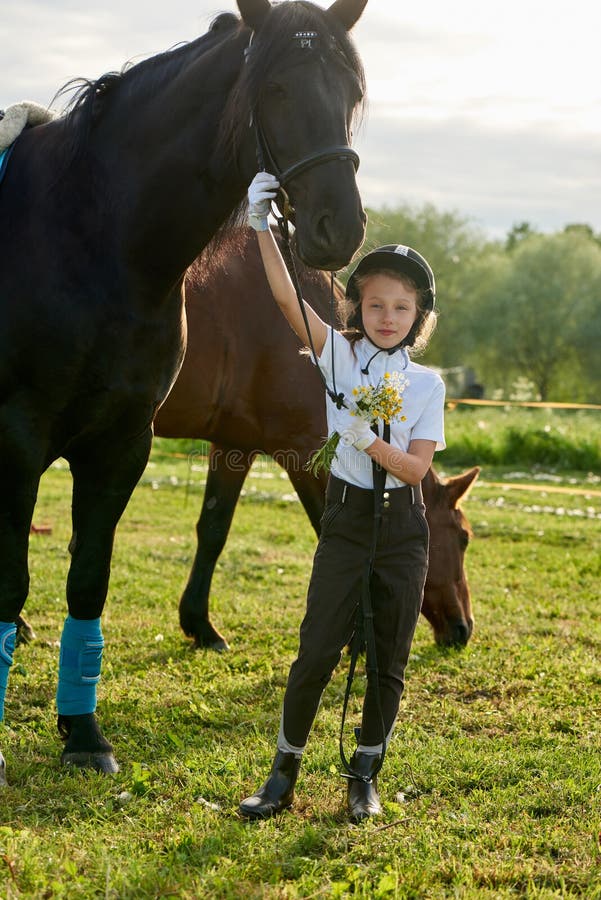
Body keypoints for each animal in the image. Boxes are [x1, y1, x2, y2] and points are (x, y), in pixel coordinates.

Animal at [0, 0, 368, 780]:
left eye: (349, 93)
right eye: (276, 90)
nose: (339, 227)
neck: (87, 237)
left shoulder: (121, 444)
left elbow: (89, 580)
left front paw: (82, 733)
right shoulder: (17, 438)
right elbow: (11, 582)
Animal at [154, 230, 478, 652]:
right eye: (464, 538)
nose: (463, 629)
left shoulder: (234, 445)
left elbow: (212, 528)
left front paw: (199, 625)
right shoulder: (298, 452)